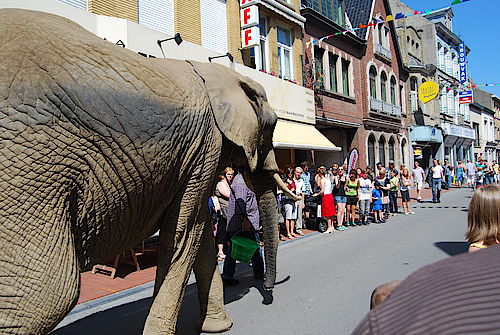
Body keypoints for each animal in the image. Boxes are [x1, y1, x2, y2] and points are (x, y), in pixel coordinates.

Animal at [0, 8, 296, 335]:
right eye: (272, 126)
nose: (267, 291)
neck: (223, 75)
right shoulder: (206, 145)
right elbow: (182, 235)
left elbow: (200, 236)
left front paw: (217, 327)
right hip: (30, 165)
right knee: (47, 297)